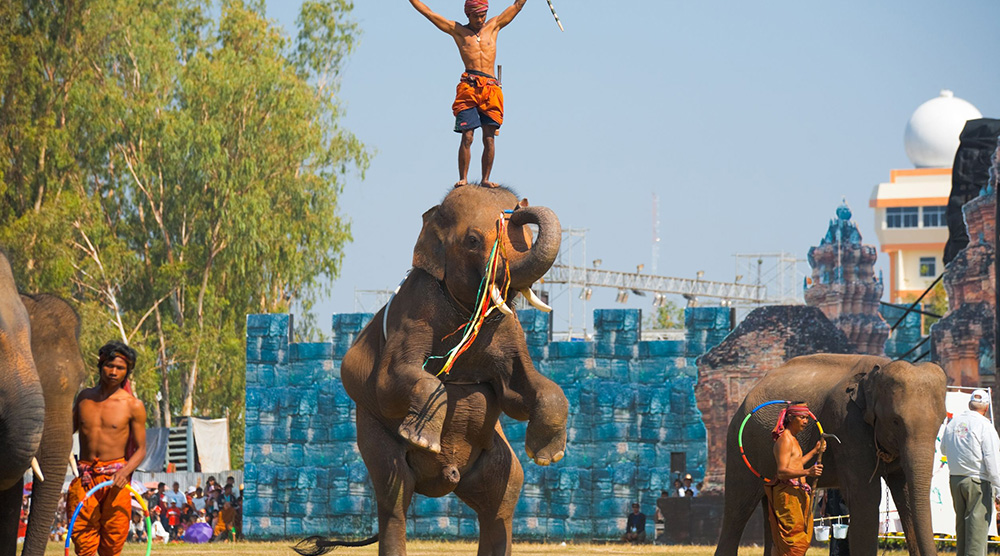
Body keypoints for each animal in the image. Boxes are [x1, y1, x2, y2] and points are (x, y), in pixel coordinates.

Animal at [296, 185, 568, 556]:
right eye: (472, 240)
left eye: (525, 237)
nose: (519, 207)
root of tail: (446, 478)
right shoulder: (414, 311)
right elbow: (389, 384)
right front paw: (422, 438)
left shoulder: (510, 333)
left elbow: (518, 393)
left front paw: (548, 456)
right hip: (373, 434)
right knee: (394, 493)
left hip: (492, 458)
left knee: (504, 495)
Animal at [714, 354, 947, 556]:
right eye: (896, 421)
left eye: (942, 420)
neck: (878, 371)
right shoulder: (846, 423)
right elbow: (866, 497)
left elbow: (905, 496)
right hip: (740, 446)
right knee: (737, 508)